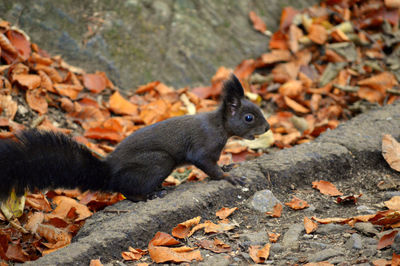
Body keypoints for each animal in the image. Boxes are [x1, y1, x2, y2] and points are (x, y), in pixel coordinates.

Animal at [0, 74, 270, 201]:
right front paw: (228, 177)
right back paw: (150, 194)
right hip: (158, 161)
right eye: (249, 117)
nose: (267, 128)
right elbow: (206, 164)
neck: (219, 126)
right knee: (127, 190)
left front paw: (228, 166)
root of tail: (109, 173)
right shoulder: (203, 146)